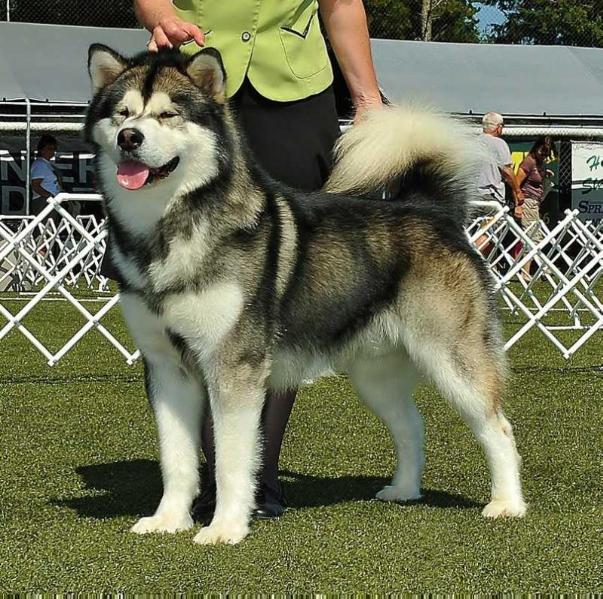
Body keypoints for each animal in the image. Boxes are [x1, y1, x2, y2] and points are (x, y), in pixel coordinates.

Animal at [86, 45, 528, 544]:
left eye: (167, 115)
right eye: (122, 113)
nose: (130, 138)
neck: (167, 228)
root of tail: (429, 209)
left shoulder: (233, 365)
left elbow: (232, 460)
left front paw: (225, 527)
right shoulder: (166, 367)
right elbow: (176, 459)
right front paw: (168, 520)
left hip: (454, 359)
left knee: (499, 428)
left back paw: (507, 504)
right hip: (373, 373)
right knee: (412, 425)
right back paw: (404, 490)